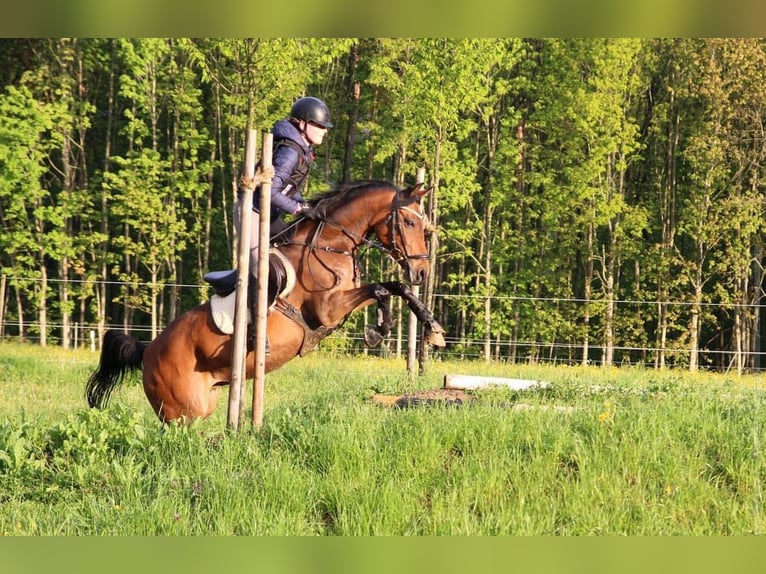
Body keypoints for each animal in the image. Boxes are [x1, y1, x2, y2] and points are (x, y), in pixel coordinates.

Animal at [85, 182, 448, 426]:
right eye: (410, 223)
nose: (422, 271)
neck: (330, 243)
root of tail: (147, 350)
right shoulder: (328, 310)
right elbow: (384, 288)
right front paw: (391, 329)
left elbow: (393, 288)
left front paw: (425, 328)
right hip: (184, 412)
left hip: (207, 399)